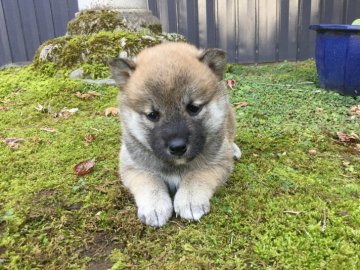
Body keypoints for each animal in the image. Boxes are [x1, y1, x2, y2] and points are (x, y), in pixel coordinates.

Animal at [108, 42, 240, 228]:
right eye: (152, 115)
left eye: (193, 108)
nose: (177, 147)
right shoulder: (133, 165)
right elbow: (150, 180)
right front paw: (155, 206)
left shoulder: (218, 161)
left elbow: (197, 175)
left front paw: (190, 200)